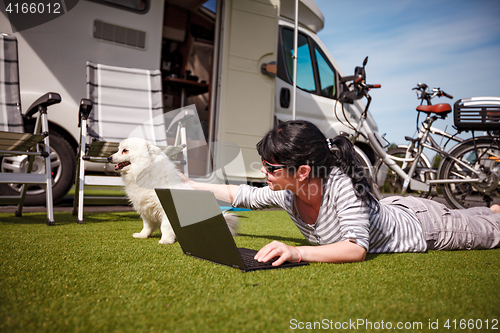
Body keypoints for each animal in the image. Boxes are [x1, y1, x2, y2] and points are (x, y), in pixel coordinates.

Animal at [107, 137, 238, 244]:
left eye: (125, 150)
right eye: (118, 149)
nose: (108, 157)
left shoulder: (166, 210)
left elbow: (165, 226)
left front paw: (166, 240)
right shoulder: (145, 209)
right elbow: (147, 225)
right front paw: (143, 235)